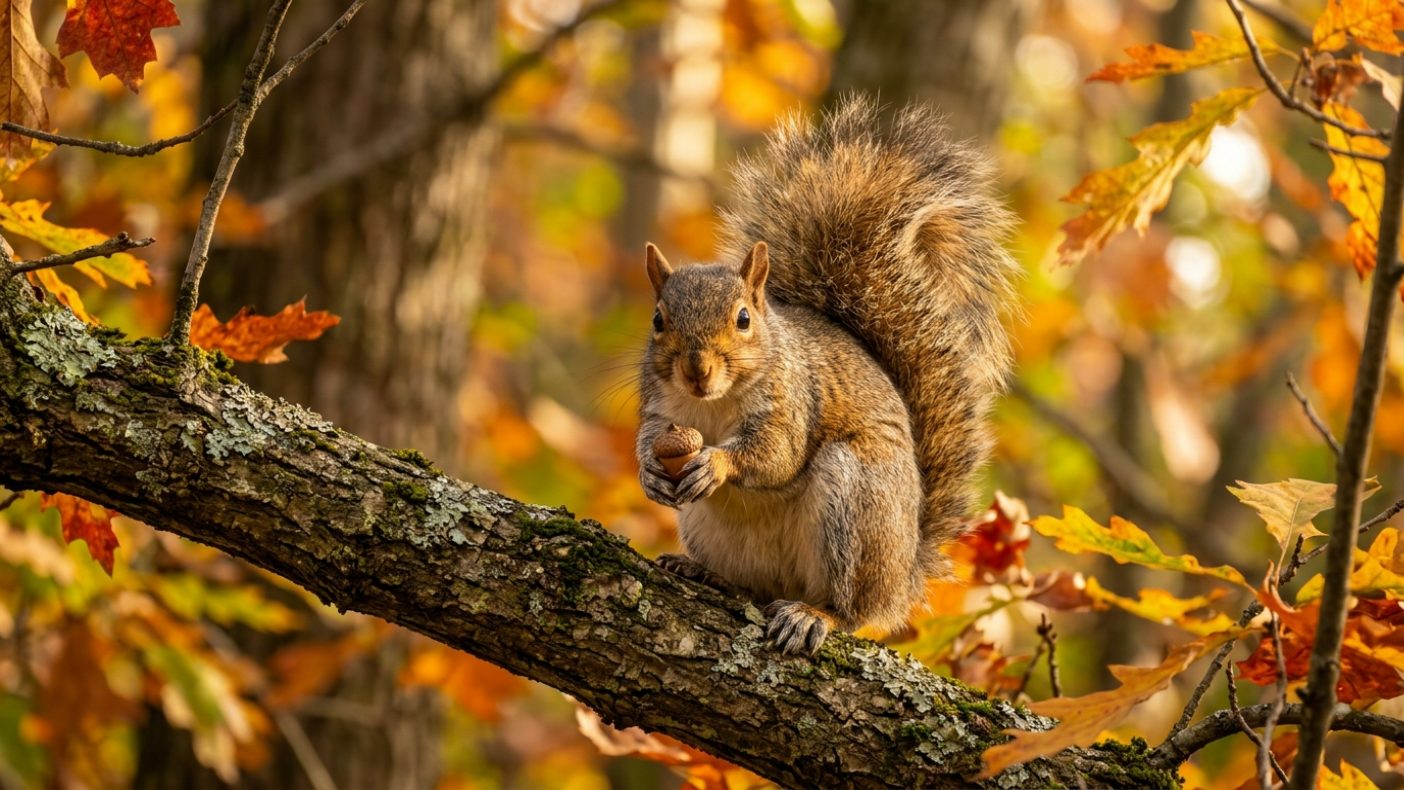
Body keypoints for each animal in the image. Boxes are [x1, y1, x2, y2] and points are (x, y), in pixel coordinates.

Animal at [636, 96, 1018, 655]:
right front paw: (648, 470)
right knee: (753, 586)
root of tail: (902, 579)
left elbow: (775, 454)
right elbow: (647, 438)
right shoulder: (659, 407)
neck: (712, 403)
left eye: (743, 319)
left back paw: (814, 615)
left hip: (854, 503)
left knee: (852, 610)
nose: (696, 371)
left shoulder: (792, 400)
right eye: (658, 320)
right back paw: (703, 572)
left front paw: (718, 463)